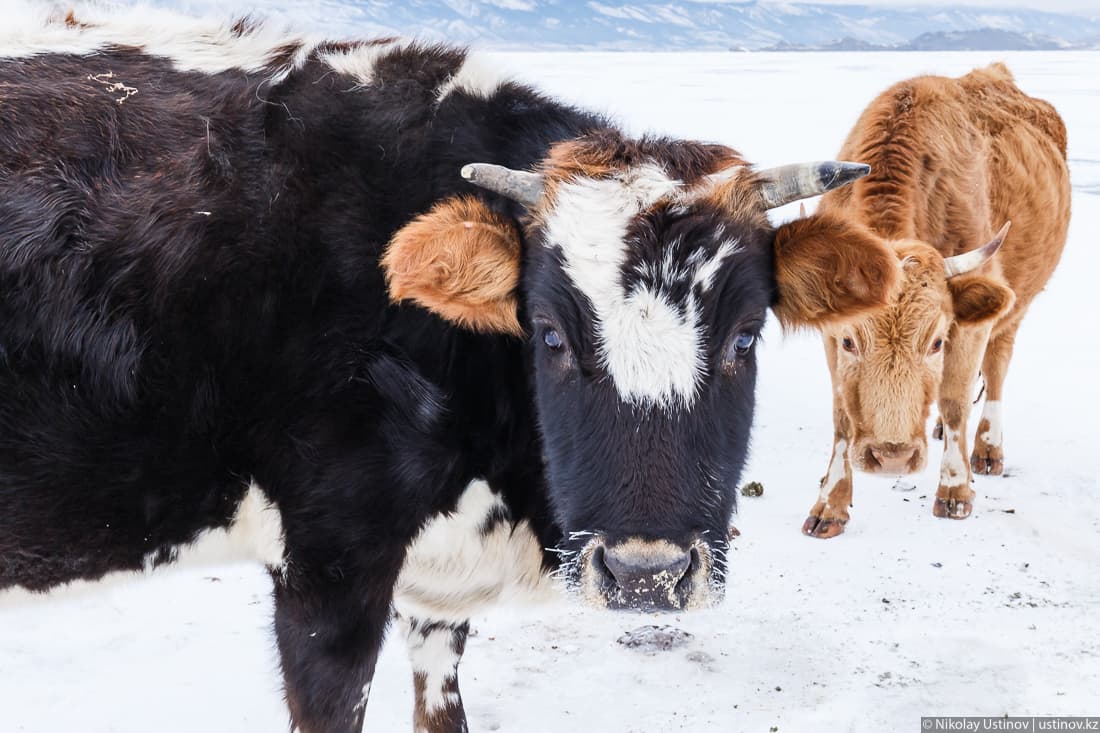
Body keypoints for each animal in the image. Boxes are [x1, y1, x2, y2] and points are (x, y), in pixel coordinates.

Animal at [776, 63, 1070, 539]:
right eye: (850, 342)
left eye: (935, 342)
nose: (892, 457)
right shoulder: (829, 337)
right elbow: (842, 417)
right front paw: (829, 505)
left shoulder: (968, 328)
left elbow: (954, 401)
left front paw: (955, 491)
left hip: (1015, 307)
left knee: (996, 368)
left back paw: (987, 449)